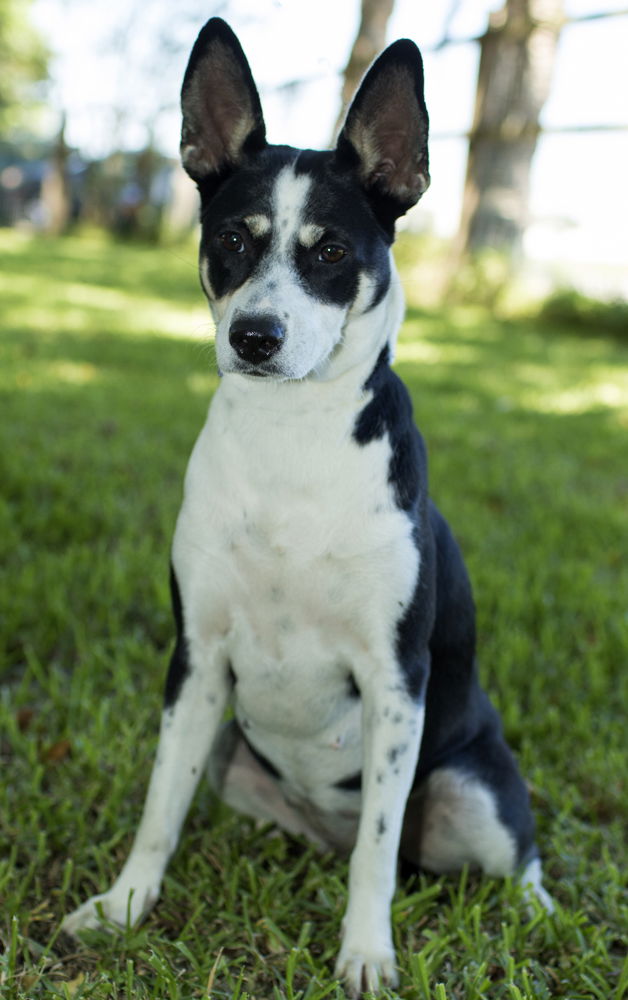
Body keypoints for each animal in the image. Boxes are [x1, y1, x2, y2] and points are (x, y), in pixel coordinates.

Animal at [63, 19, 552, 996]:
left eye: (330, 251)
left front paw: (365, 952)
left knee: (509, 857)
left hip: (472, 788)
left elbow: (378, 849)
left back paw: (540, 913)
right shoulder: (196, 663)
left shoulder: (396, 682)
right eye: (233, 239)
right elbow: (158, 807)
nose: (257, 337)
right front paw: (125, 906)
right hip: (232, 756)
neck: (290, 440)